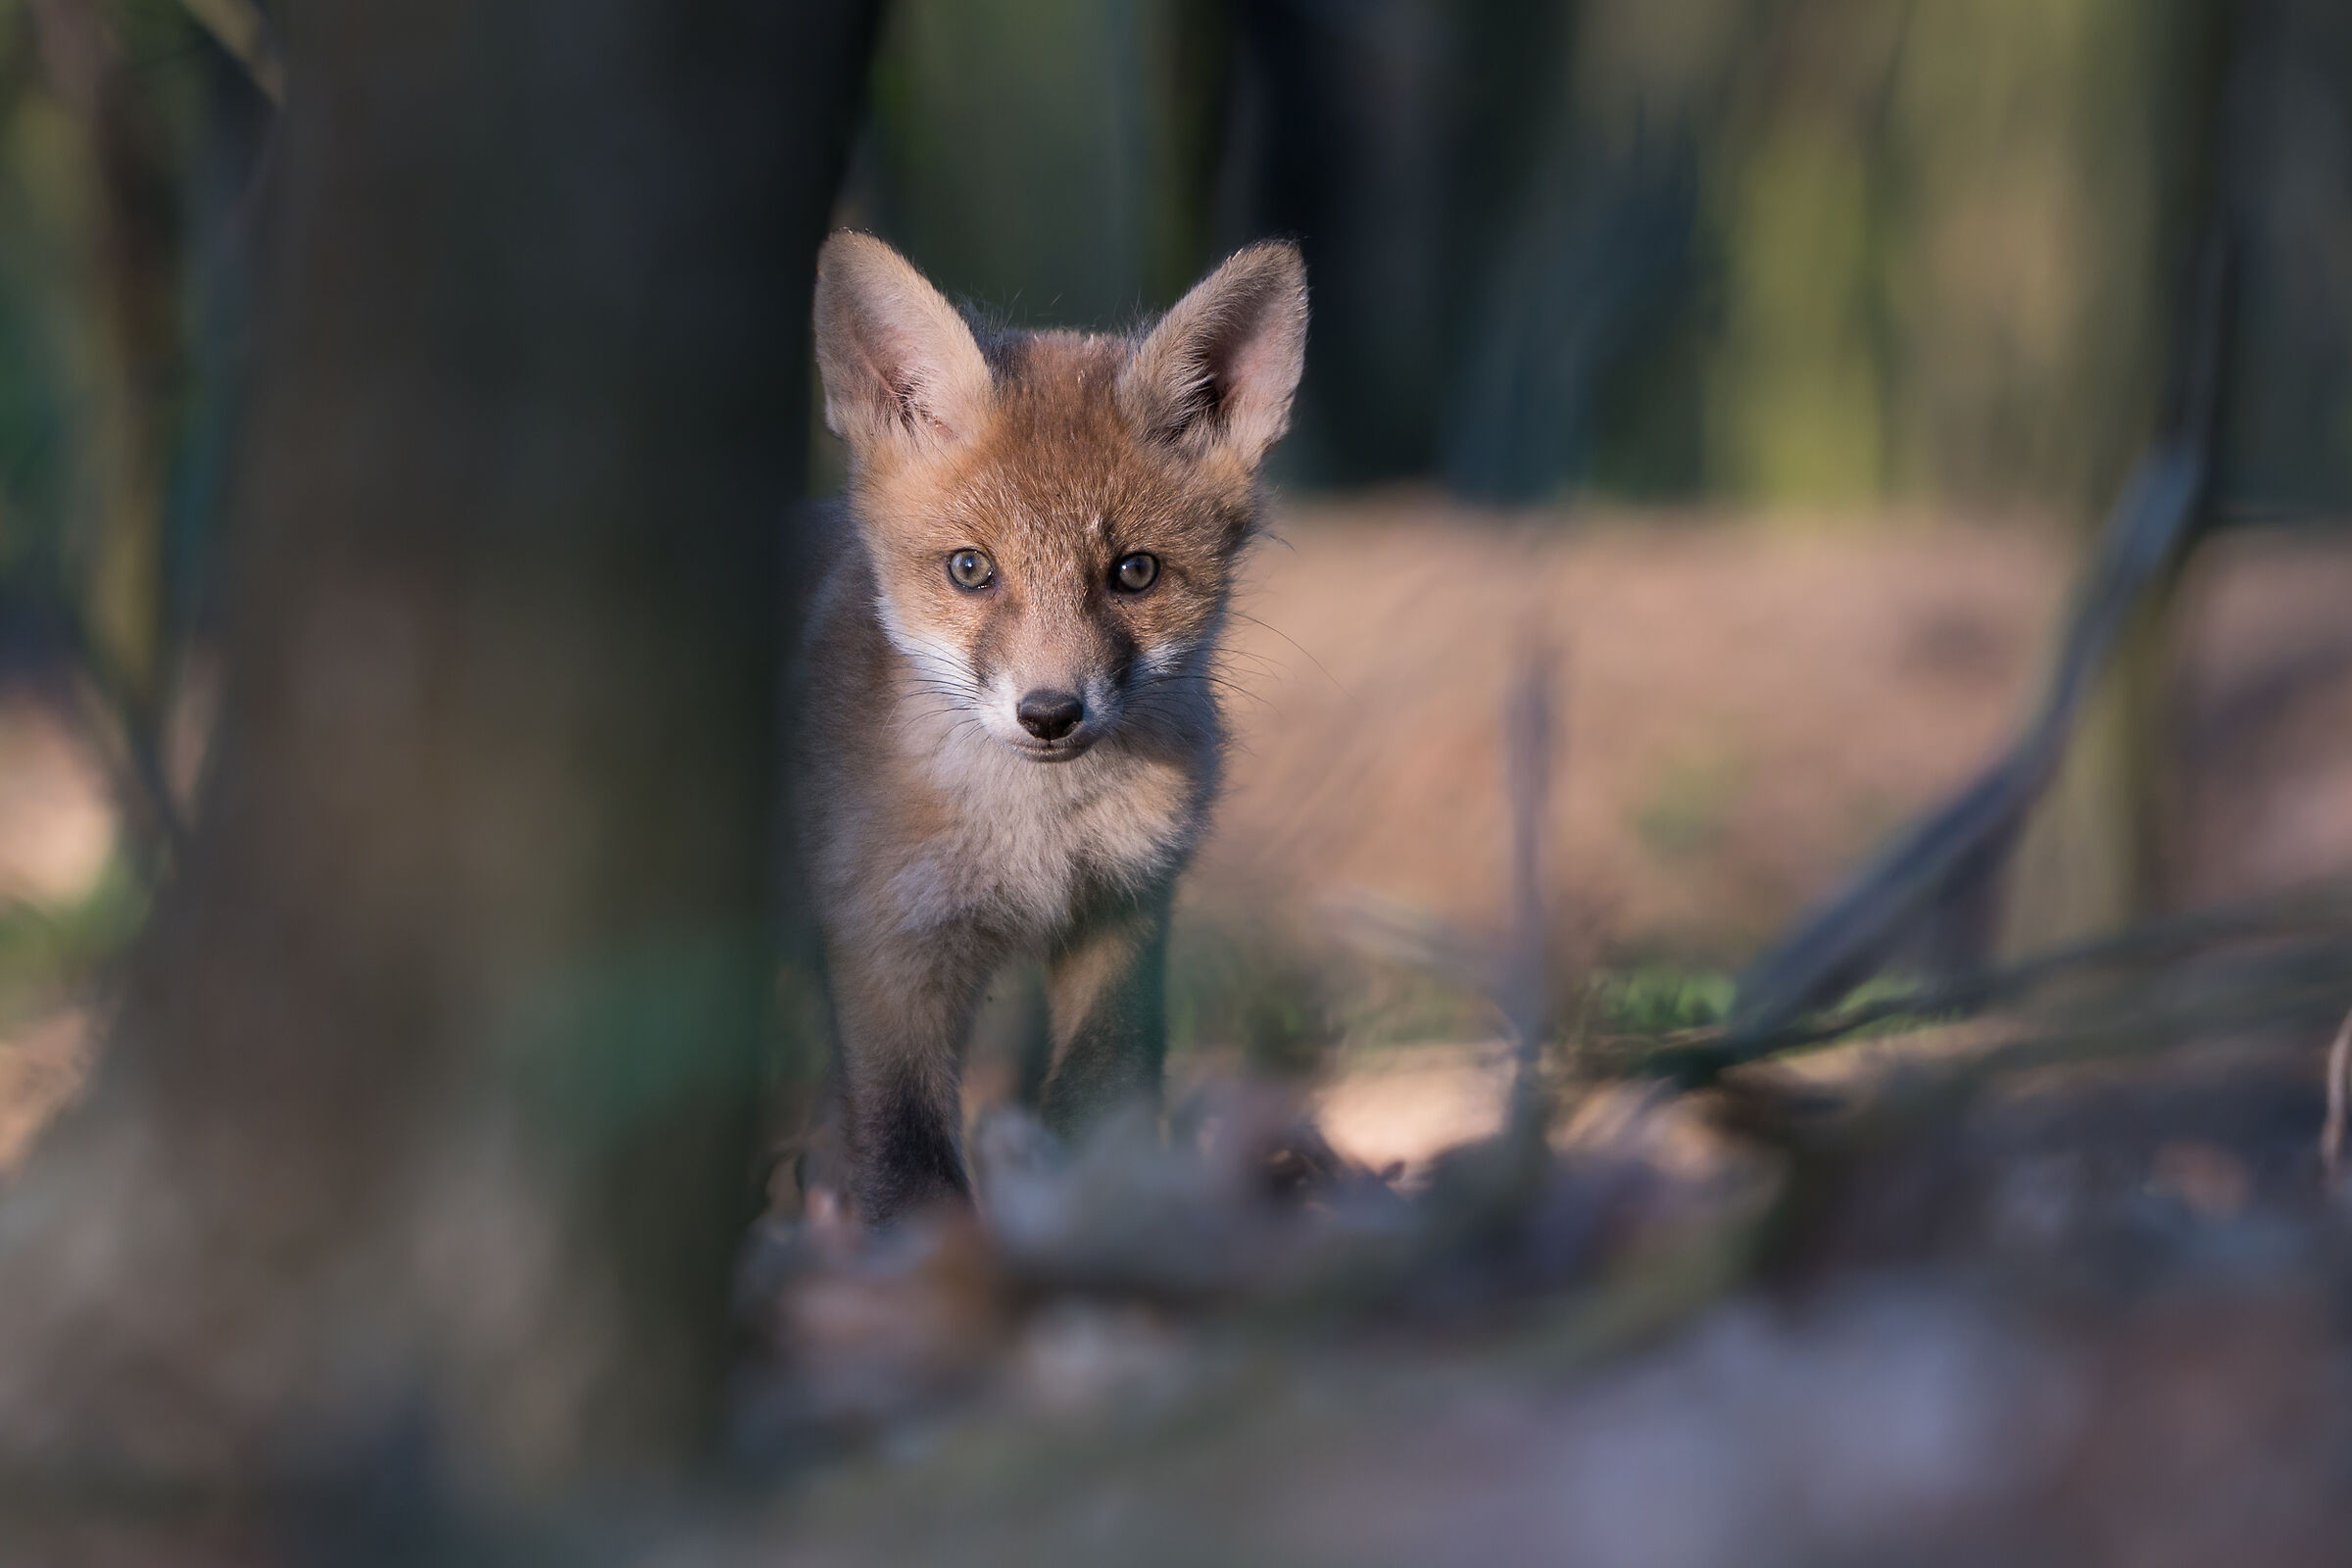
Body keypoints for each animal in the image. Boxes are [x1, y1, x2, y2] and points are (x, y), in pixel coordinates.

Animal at [799, 231, 1308, 1223]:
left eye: (1135, 572)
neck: (1031, 837)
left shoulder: (1125, 910)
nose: (1049, 713)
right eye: (971, 569)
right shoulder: (883, 947)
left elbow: (1099, 1102)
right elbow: (910, 1162)